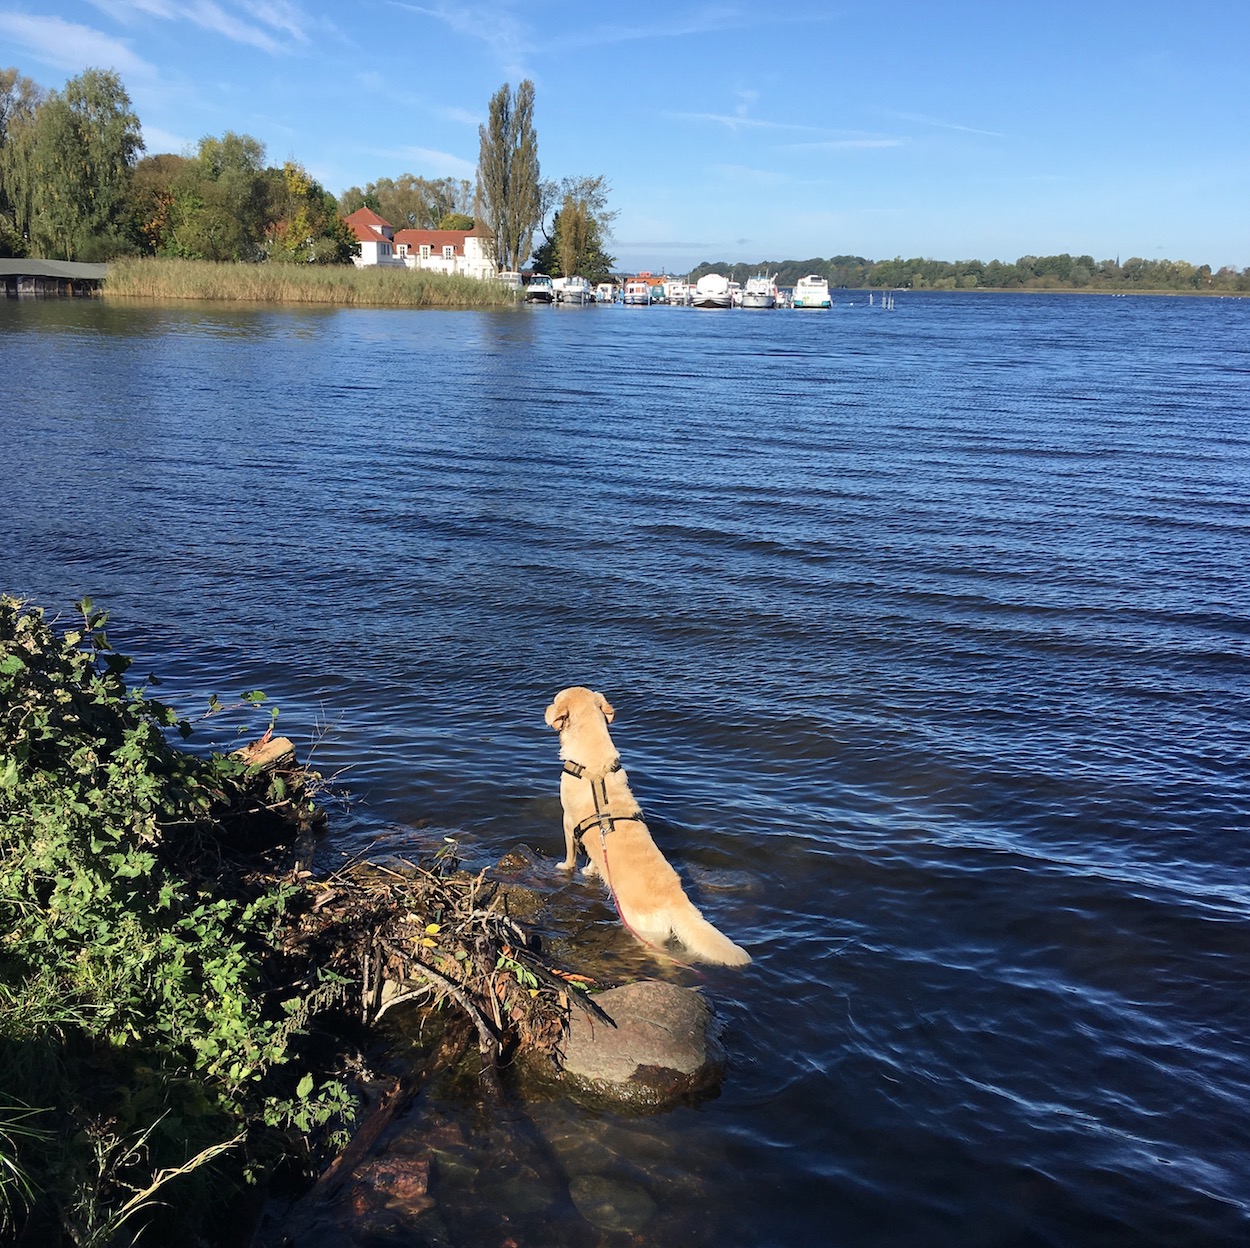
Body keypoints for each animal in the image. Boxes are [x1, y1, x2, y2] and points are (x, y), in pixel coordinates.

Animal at [542, 695, 745, 965]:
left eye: (555, 702)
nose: (545, 708)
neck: (594, 767)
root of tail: (676, 898)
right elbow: (595, 859)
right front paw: (590, 870)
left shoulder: (567, 819)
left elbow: (570, 853)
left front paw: (566, 867)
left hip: (644, 932)